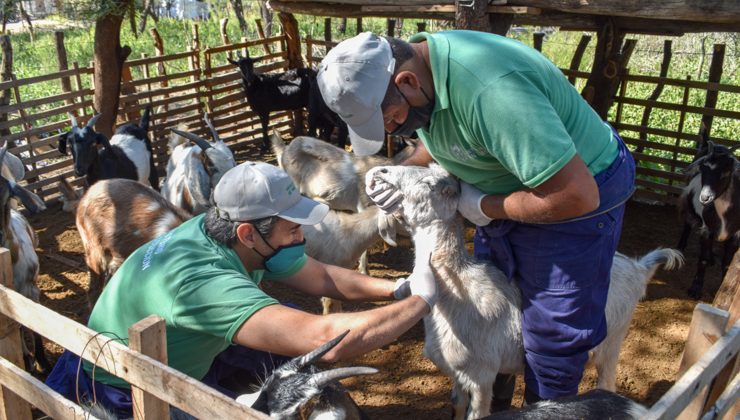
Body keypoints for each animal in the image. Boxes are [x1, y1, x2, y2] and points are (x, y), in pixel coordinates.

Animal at [368, 164, 684, 420]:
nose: (379, 172)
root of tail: (638, 267)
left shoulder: (482, 376)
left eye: (430, 183)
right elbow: (456, 406)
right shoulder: (459, 373)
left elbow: (476, 413)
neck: (458, 285)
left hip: (612, 341)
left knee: (604, 380)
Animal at [680, 135, 736, 298]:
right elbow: (702, 259)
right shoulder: (707, 229)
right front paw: (695, 288)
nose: (705, 197)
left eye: (726, 173)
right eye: (703, 169)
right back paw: (681, 246)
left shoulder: (736, 234)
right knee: (687, 224)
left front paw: (723, 285)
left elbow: (727, 263)